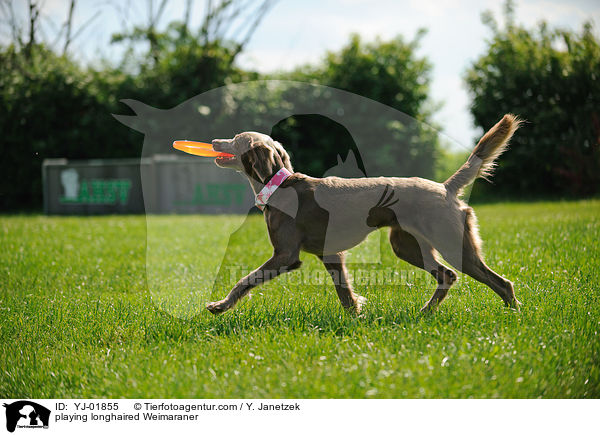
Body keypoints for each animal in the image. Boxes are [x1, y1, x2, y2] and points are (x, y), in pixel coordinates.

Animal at [206, 114, 520, 316]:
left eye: (236, 139)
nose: (214, 140)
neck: (280, 185)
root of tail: (445, 187)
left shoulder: (286, 254)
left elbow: (246, 279)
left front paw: (220, 306)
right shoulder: (331, 254)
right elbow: (344, 292)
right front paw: (355, 317)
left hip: (452, 242)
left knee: (500, 281)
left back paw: (514, 314)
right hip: (407, 245)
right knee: (448, 275)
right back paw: (425, 313)